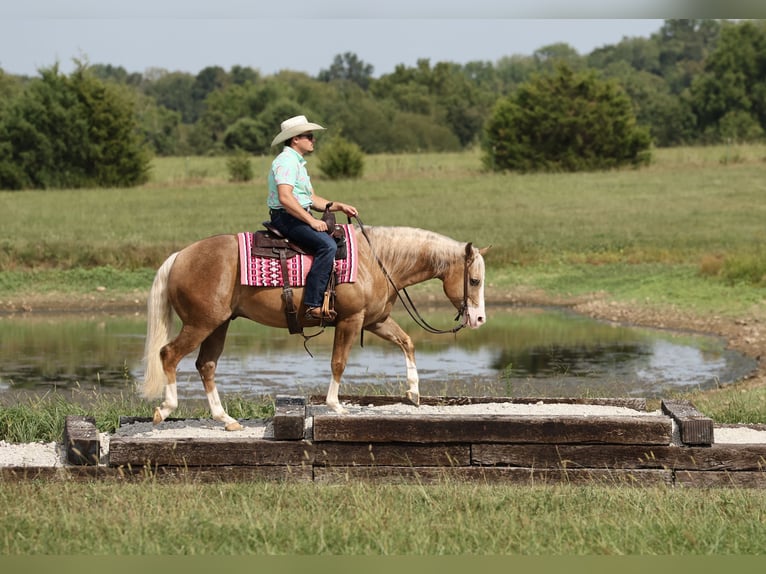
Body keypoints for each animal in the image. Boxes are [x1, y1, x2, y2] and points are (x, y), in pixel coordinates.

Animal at [141, 225, 489, 430]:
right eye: (474, 280)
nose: (479, 320)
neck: (377, 261)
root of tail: (179, 256)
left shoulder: (375, 320)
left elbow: (407, 342)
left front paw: (414, 391)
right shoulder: (351, 320)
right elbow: (339, 362)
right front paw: (336, 406)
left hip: (219, 324)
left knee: (206, 365)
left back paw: (225, 419)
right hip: (201, 324)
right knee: (169, 354)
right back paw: (165, 409)